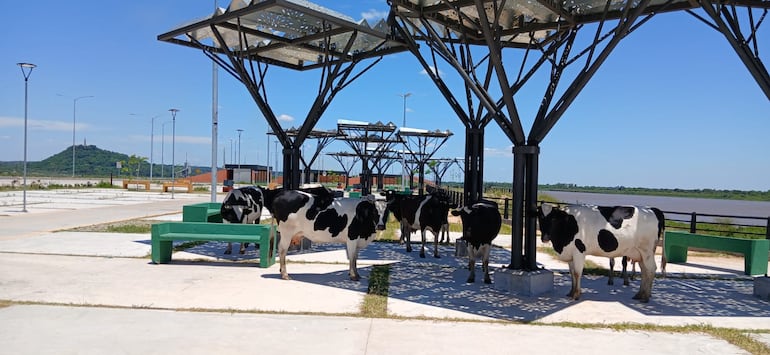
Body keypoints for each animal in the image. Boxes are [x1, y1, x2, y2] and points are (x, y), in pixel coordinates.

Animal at [536, 203, 664, 304]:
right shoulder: (571, 253)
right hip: (641, 253)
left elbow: (577, 273)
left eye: (553, 219)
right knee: (644, 271)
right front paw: (571, 292)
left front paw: (576, 294)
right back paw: (640, 294)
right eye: (540, 216)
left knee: (651, 269)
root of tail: (652, 209)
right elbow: (572, 273)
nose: (545, 238)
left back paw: (645, 297)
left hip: (646, 251)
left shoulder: (579, 251)